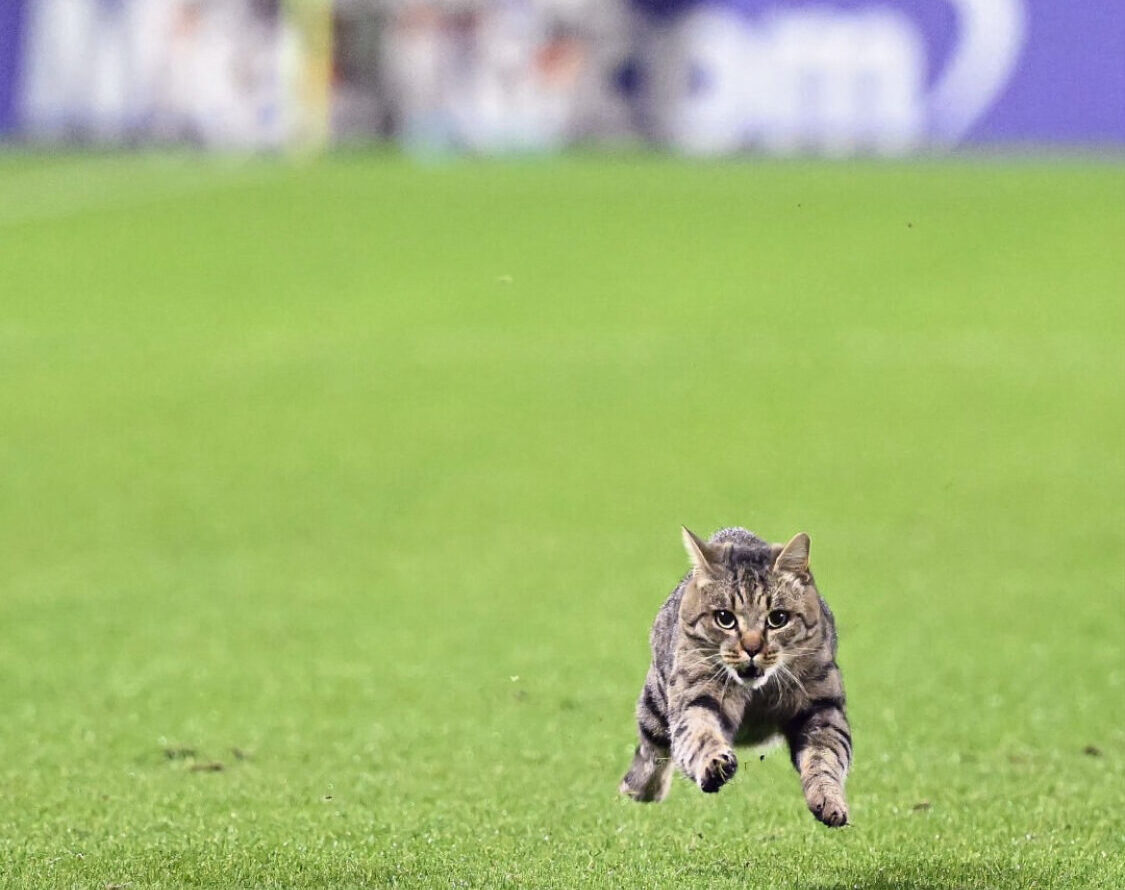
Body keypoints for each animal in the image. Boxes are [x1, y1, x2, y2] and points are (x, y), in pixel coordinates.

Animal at [621, 522, 846, 828]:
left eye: (778, 618)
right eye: (724, 618)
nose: (751, 648)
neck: (758, 694)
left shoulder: (823, 706)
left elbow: (826, 756)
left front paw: (829, 799)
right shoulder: (697, 694)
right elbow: (699, 732)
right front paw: (713, 764)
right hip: (656, 703)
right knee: (651, 750)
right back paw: (638, 789)